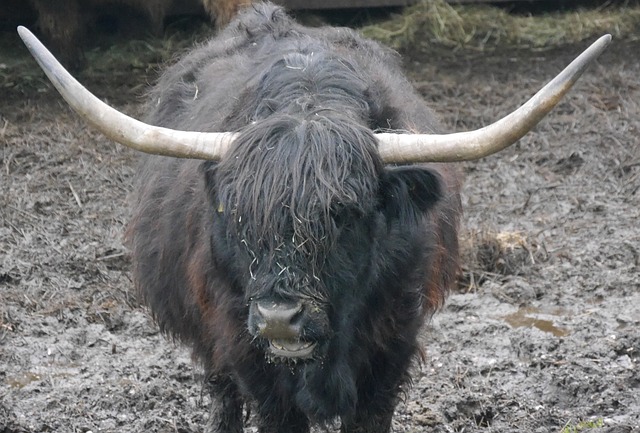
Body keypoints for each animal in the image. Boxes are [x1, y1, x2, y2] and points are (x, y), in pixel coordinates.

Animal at [18, 4, 608, 432]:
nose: (279, 318)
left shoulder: (389, 355)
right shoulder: (250, 357)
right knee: (223, 399)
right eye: (239, 216)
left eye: (342, 215)